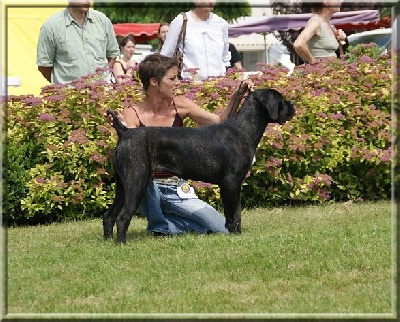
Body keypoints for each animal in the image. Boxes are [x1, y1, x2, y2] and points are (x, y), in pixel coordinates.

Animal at [104, 88, 296, 242]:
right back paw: (122, 244)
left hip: (123, 185)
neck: (244, 129)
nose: (292, 105)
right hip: (137, 181)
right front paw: (238, 236)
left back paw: (108, 242)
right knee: (122, 217)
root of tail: (125, 132)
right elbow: (237, 213)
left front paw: (231, 235)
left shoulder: (225, 186)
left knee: (108, 216)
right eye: (281, 100)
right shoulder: (233, 183)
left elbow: (229, 216)